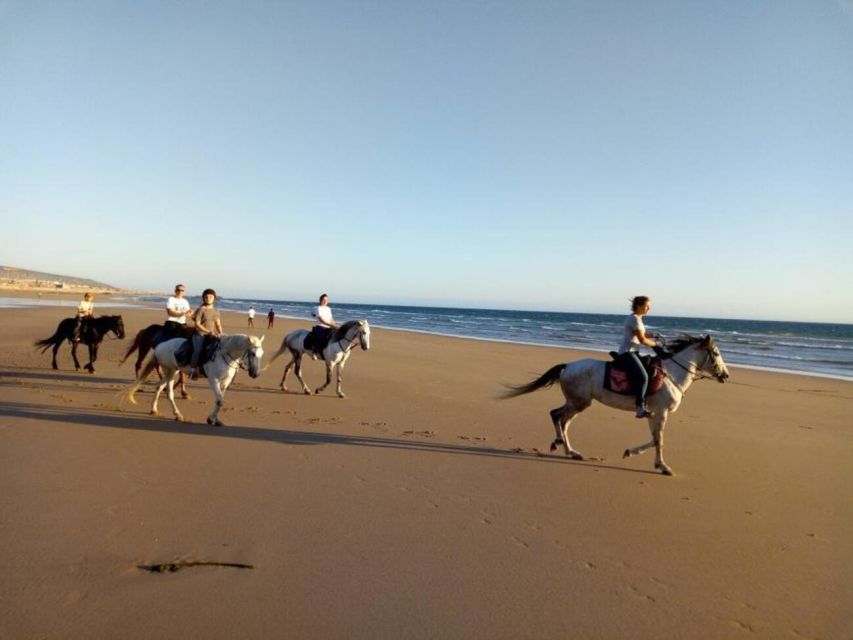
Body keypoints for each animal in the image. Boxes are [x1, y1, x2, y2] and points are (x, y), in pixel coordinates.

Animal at [126, 332, 262, 428]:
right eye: (253, 354)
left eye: (261, 354)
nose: (256, 374)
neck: (225, 354)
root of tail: (159, 346)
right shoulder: (214, 380)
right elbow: (219, 400)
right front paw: (210, 419)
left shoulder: (225, 383)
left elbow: (220, 400)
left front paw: (216, 420)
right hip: (170, 371)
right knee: (169, 393)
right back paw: (178, 415)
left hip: (173, 371)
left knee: (159, 387)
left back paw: (154, 409)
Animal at [502, 336, 728, 476]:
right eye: (716, 354)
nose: (725, 375)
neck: (671, 375)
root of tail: (568, 366)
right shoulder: (660, 413)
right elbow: (659, 440)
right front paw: (664, 467)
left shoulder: (654, 414)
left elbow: (654, 439)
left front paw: (631, 452)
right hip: (578, 402)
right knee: (556, 415)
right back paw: (560, 444)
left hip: (577, 403)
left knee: (563, 421)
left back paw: (570, 451)